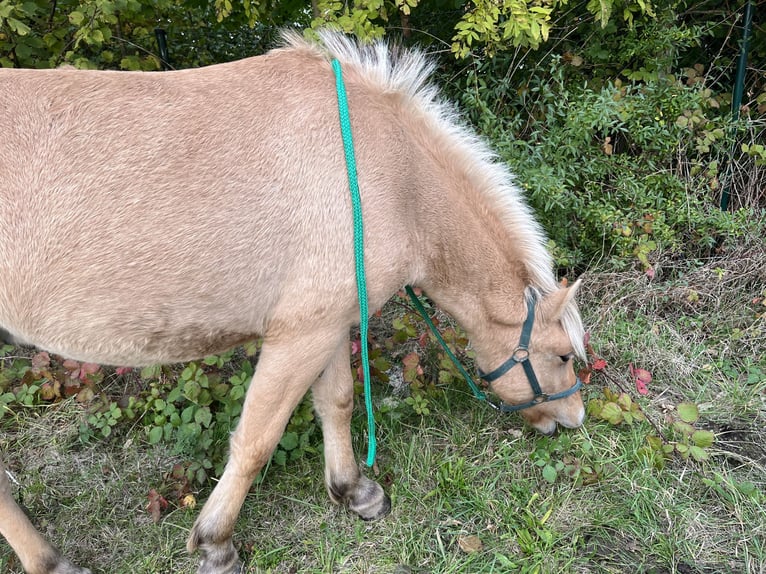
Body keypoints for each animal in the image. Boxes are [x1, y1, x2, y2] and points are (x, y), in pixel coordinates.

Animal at [1, 30, 588, 574]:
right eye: (562, 355)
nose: (575, 419)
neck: (389, 178)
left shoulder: (328, 324)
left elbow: (338, 403)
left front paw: (353, 490)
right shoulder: (300, 335)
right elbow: (256, 440)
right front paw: (216, 542)